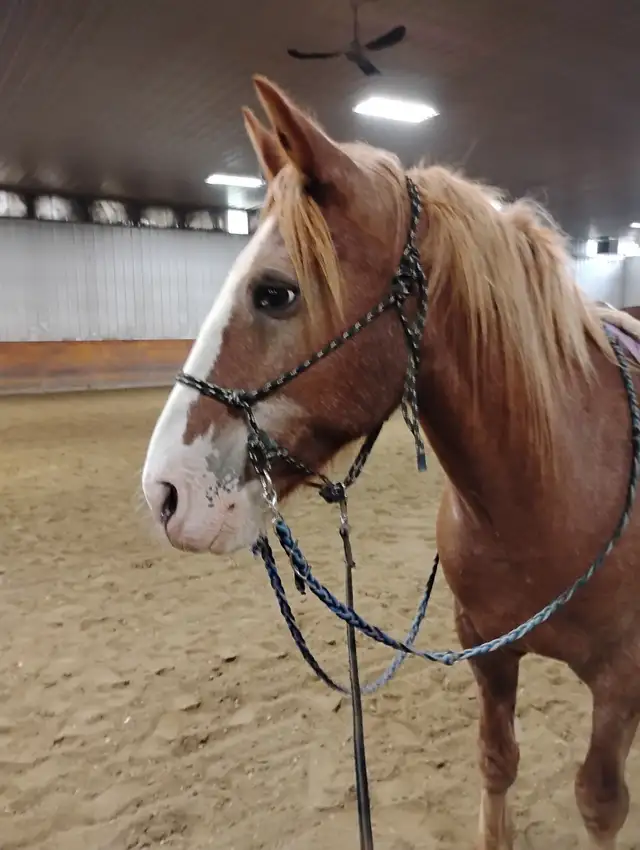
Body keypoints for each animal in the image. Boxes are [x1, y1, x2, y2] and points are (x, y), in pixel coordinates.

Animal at [142, 75, 640, 849]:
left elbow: (599, 802)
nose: (165, 492)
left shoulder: (621, 683)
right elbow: (496, 761)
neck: (557, 489)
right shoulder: (487, 652)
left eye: (274, 291)